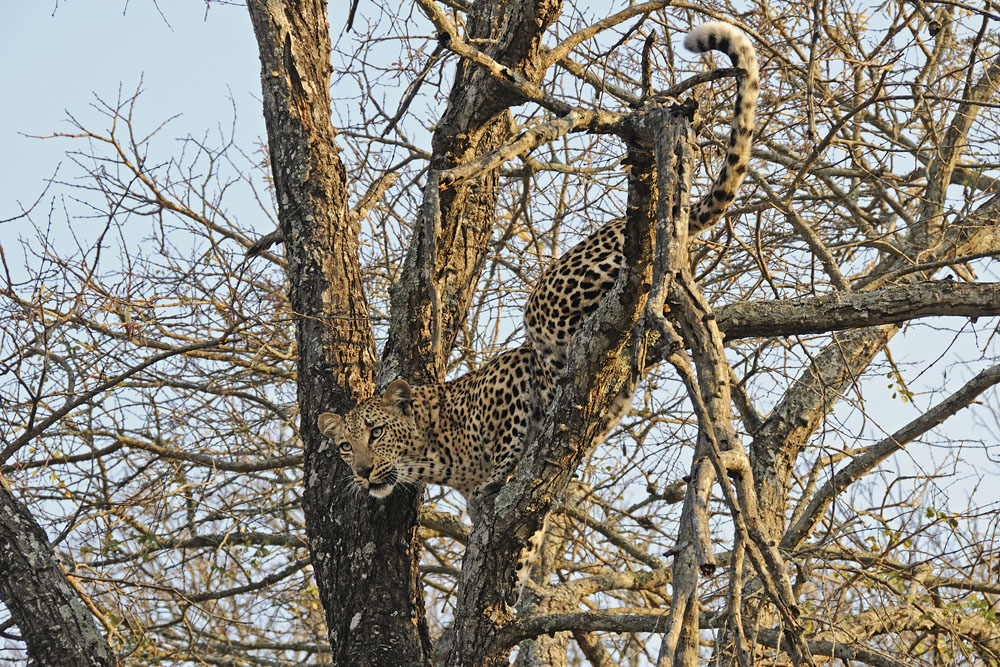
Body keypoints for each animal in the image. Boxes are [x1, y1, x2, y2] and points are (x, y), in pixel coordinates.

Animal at [318, 22, 759, 524]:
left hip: (550, 305)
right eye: (345, 447)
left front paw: (501, 472)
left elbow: (512, 432)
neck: (432, 455)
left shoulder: (510, 377)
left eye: (375, 433)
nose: (361, 472)